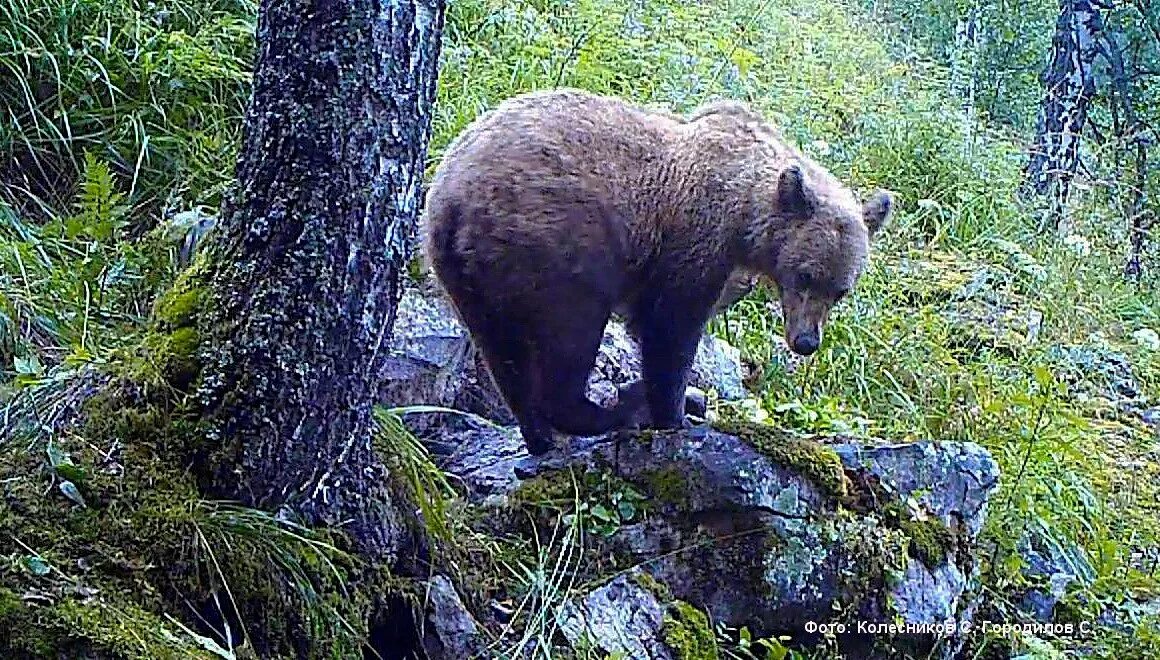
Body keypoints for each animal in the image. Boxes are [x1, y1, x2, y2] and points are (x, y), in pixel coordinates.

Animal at [422, 88, 890, 452]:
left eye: (841, 290)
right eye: (805, 276)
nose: (807, 341)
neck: (746, 219)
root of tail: (454, 197)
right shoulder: (692, 239)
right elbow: (670, 328)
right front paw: (676, 411)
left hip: (467, 273)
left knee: (502, 352)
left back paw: (538, 435)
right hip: (554, 246)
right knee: (568, 335)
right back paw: (609, 411)